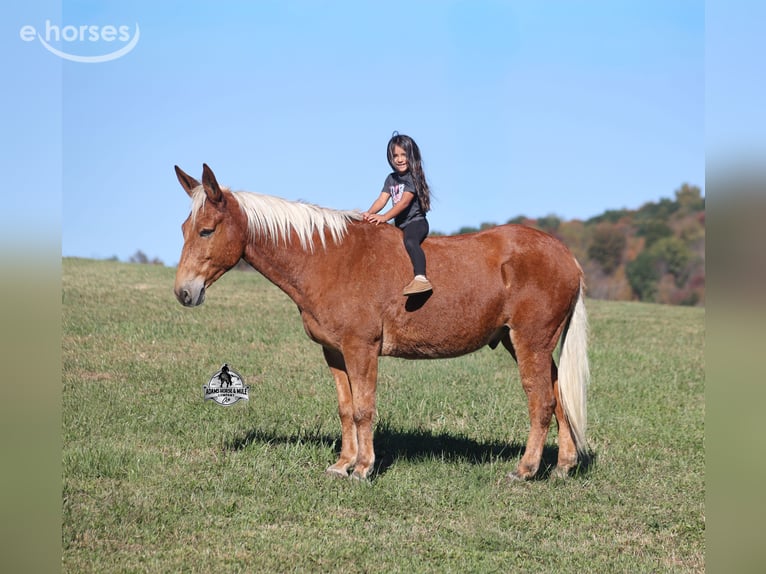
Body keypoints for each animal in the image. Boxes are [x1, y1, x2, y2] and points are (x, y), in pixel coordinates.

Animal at [173, 164, 589, 481]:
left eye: (207, 230)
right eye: (184, 229)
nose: (184, 293)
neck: (328, 259)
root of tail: (566, 255)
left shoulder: (362, 348)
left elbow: (364, 408)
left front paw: (363, 468)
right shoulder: (334, 352)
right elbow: (346, 408)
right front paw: (342, 464)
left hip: (529, 342)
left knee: (541, 401)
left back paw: (526, 469)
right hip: (525, 343)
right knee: (558, 396)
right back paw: (563, 466)